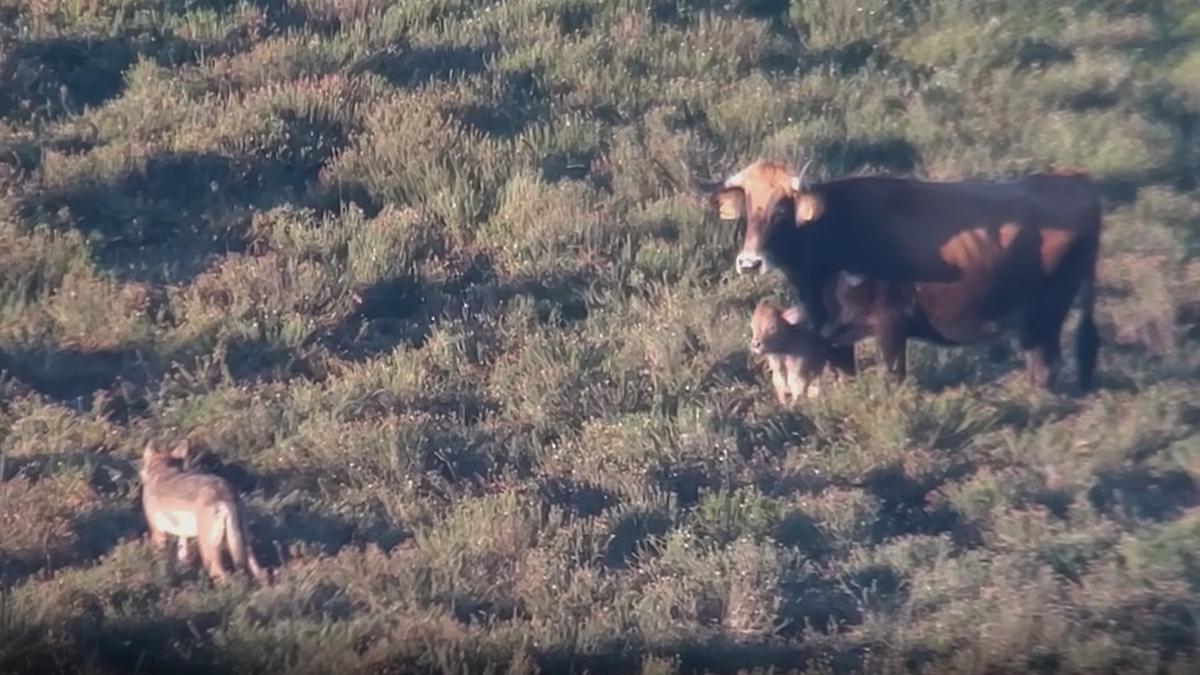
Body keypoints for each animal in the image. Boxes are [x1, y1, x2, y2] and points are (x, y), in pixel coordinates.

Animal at [700, 158, 1099, 389]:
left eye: (782, 210)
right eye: (748, 209)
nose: (750, 262)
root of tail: (1077, 182)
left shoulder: (890, 324)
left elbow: (893, 379)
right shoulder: (835, 333)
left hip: (1047, 315)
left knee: (1047, 369)